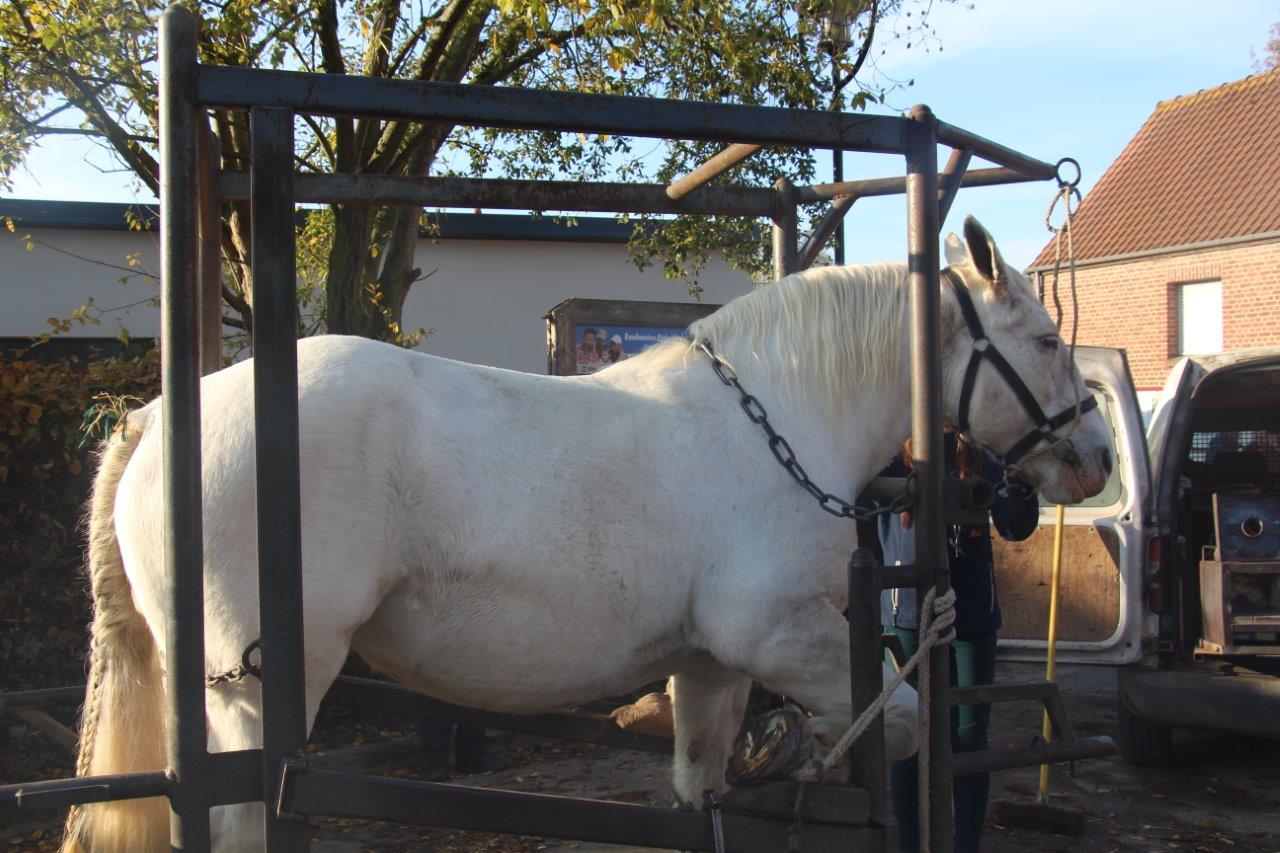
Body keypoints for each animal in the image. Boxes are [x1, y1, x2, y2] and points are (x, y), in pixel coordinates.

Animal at [62, 216, 1111, 845]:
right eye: (1046, 342)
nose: (1095, 455)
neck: (772, 416)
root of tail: (160, 418)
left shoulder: (711, 666)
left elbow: (701, 792)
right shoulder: (777, 634)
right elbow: (891, 722)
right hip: (260, 686)